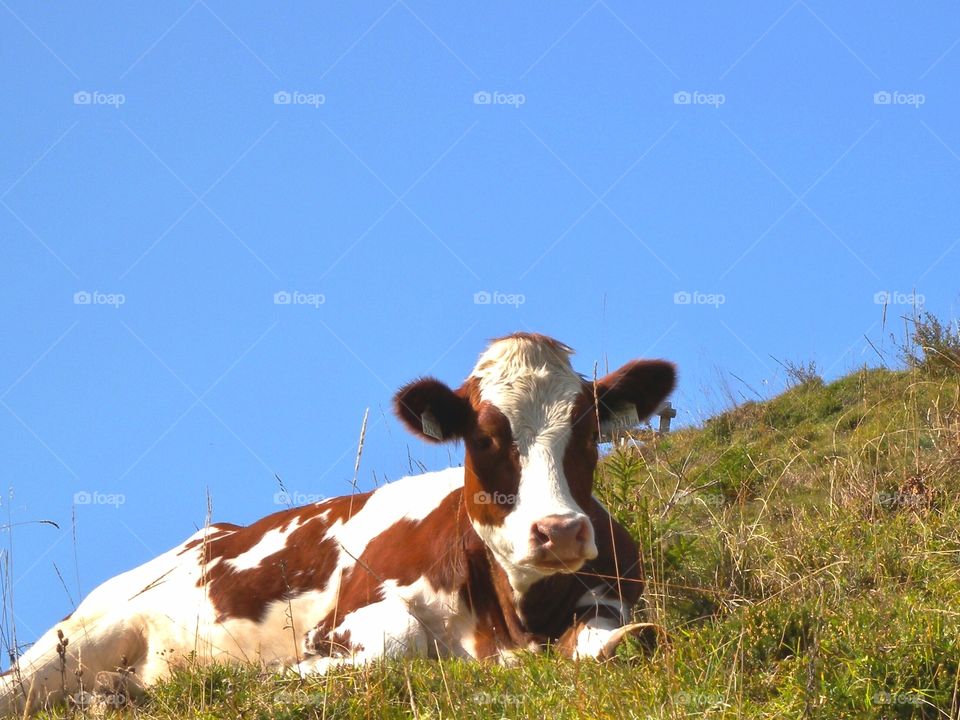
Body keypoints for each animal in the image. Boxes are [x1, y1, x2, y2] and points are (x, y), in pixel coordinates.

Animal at [0, 332, 675, 714]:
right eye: (484, 437)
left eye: (587, 432)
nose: (558, 530)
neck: (511, 623)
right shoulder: (349, 614)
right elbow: (398, 641)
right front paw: (290, 672)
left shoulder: (613, 592)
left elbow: (621, 639)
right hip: (77, 638)